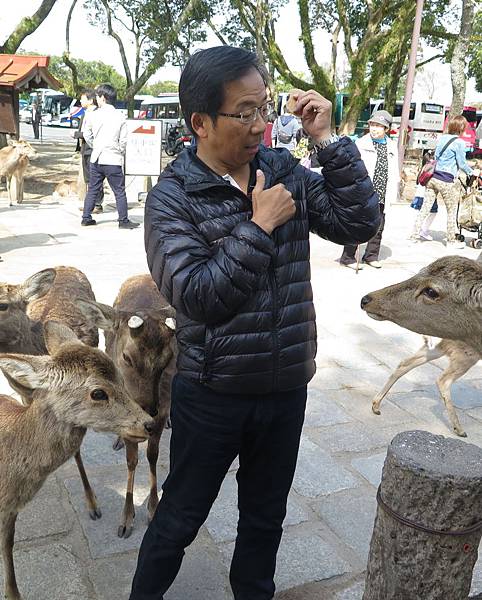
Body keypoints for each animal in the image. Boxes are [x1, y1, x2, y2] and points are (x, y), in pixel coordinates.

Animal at [77, 274, 177, 536]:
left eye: (168, 359)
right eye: (126, 357)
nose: (148, 410)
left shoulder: (161, 408)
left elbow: (152, 455)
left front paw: (152, 509)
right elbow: (132, 461)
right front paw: (126, 519)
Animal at [362, 253, 482, 436]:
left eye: (431, 291)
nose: (366, 299)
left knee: (406, 362)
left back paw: (376, 405)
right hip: (464, 354)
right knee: (443, 379)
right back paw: (459, 429)